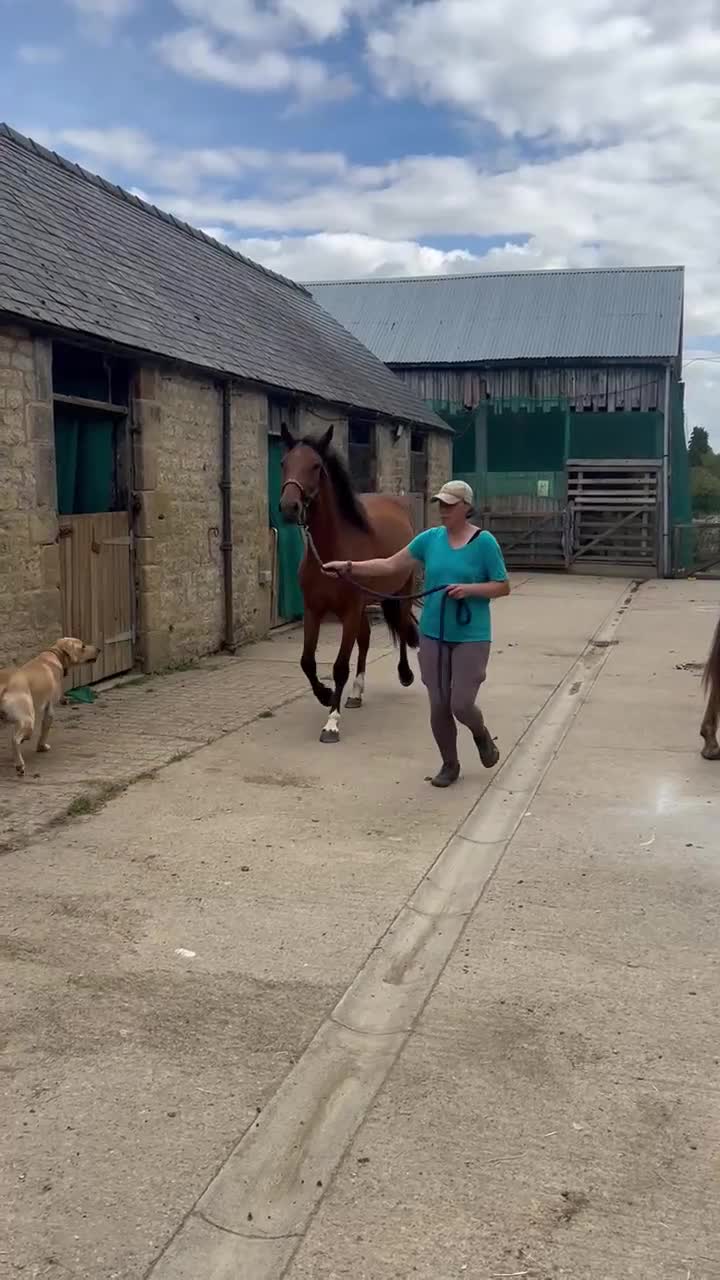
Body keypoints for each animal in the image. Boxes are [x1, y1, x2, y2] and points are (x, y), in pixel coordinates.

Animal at [278, 422, 419, 743]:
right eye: (284, 463)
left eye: (316, 466)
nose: (289, 507)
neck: (331, 553)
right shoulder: (314, 610)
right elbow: (307, 661)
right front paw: (326, 694)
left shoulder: (350, 611)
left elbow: (340, 666)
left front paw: (331, 722)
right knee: (365, 640)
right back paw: (355, 693)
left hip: (400, 592)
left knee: (402, 626)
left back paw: (405, 674)